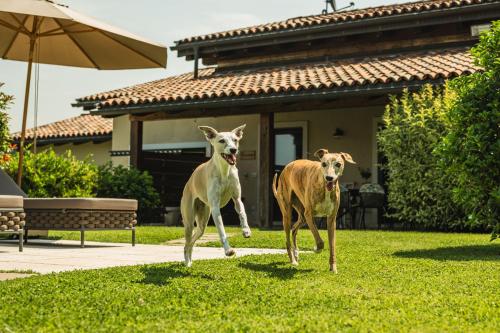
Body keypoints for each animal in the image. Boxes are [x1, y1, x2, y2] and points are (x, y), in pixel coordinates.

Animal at [180, 123, 252, 266]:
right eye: (222, 141)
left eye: (235, 140)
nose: (233, 150)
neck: (224, 171)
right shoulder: (215, 208)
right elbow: (222, 230)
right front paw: (228, 251)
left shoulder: (237, 199)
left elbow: (242, 213)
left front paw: (246, 230)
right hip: (189, 220)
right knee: (186, 243)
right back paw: (187, 263)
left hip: (202, 222)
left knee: (193, 241)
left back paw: (190, 260)